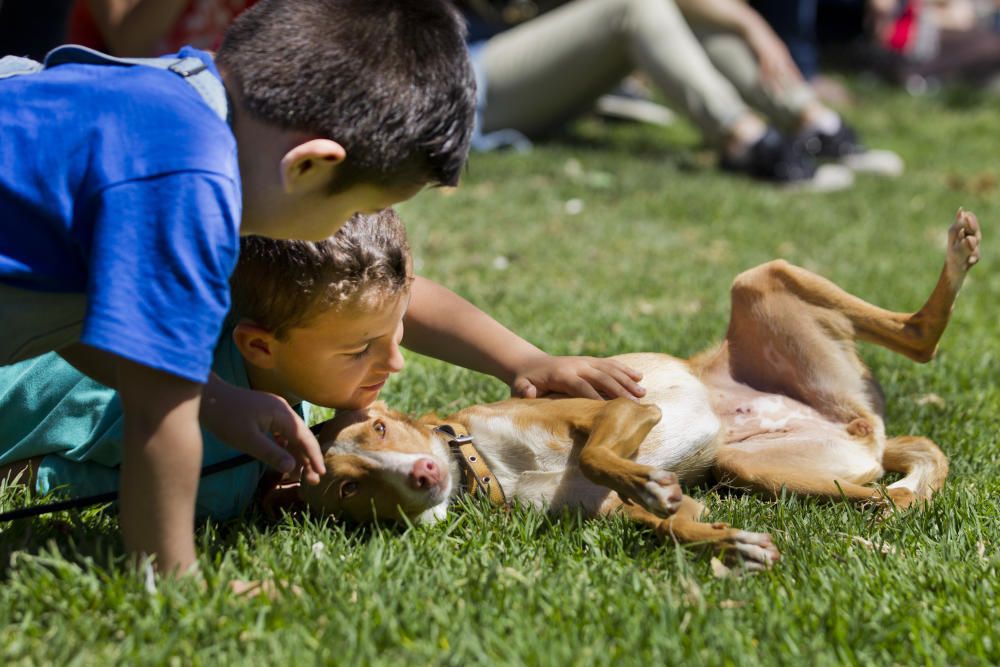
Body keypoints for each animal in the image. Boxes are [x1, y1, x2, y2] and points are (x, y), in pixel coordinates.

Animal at [286, 211, 980, 572]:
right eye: (348, 487)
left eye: (379, 429)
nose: (425, 473)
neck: (483, 463)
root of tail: (861, 423)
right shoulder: (613, 513)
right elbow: (678, 526)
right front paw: (731, 544)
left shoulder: (622, 406)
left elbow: (599, 454)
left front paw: (646, 480)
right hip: (756, 466)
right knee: (881, 490)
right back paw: (887, 508)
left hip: (761, 278)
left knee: (920, 336)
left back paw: (959, 253)